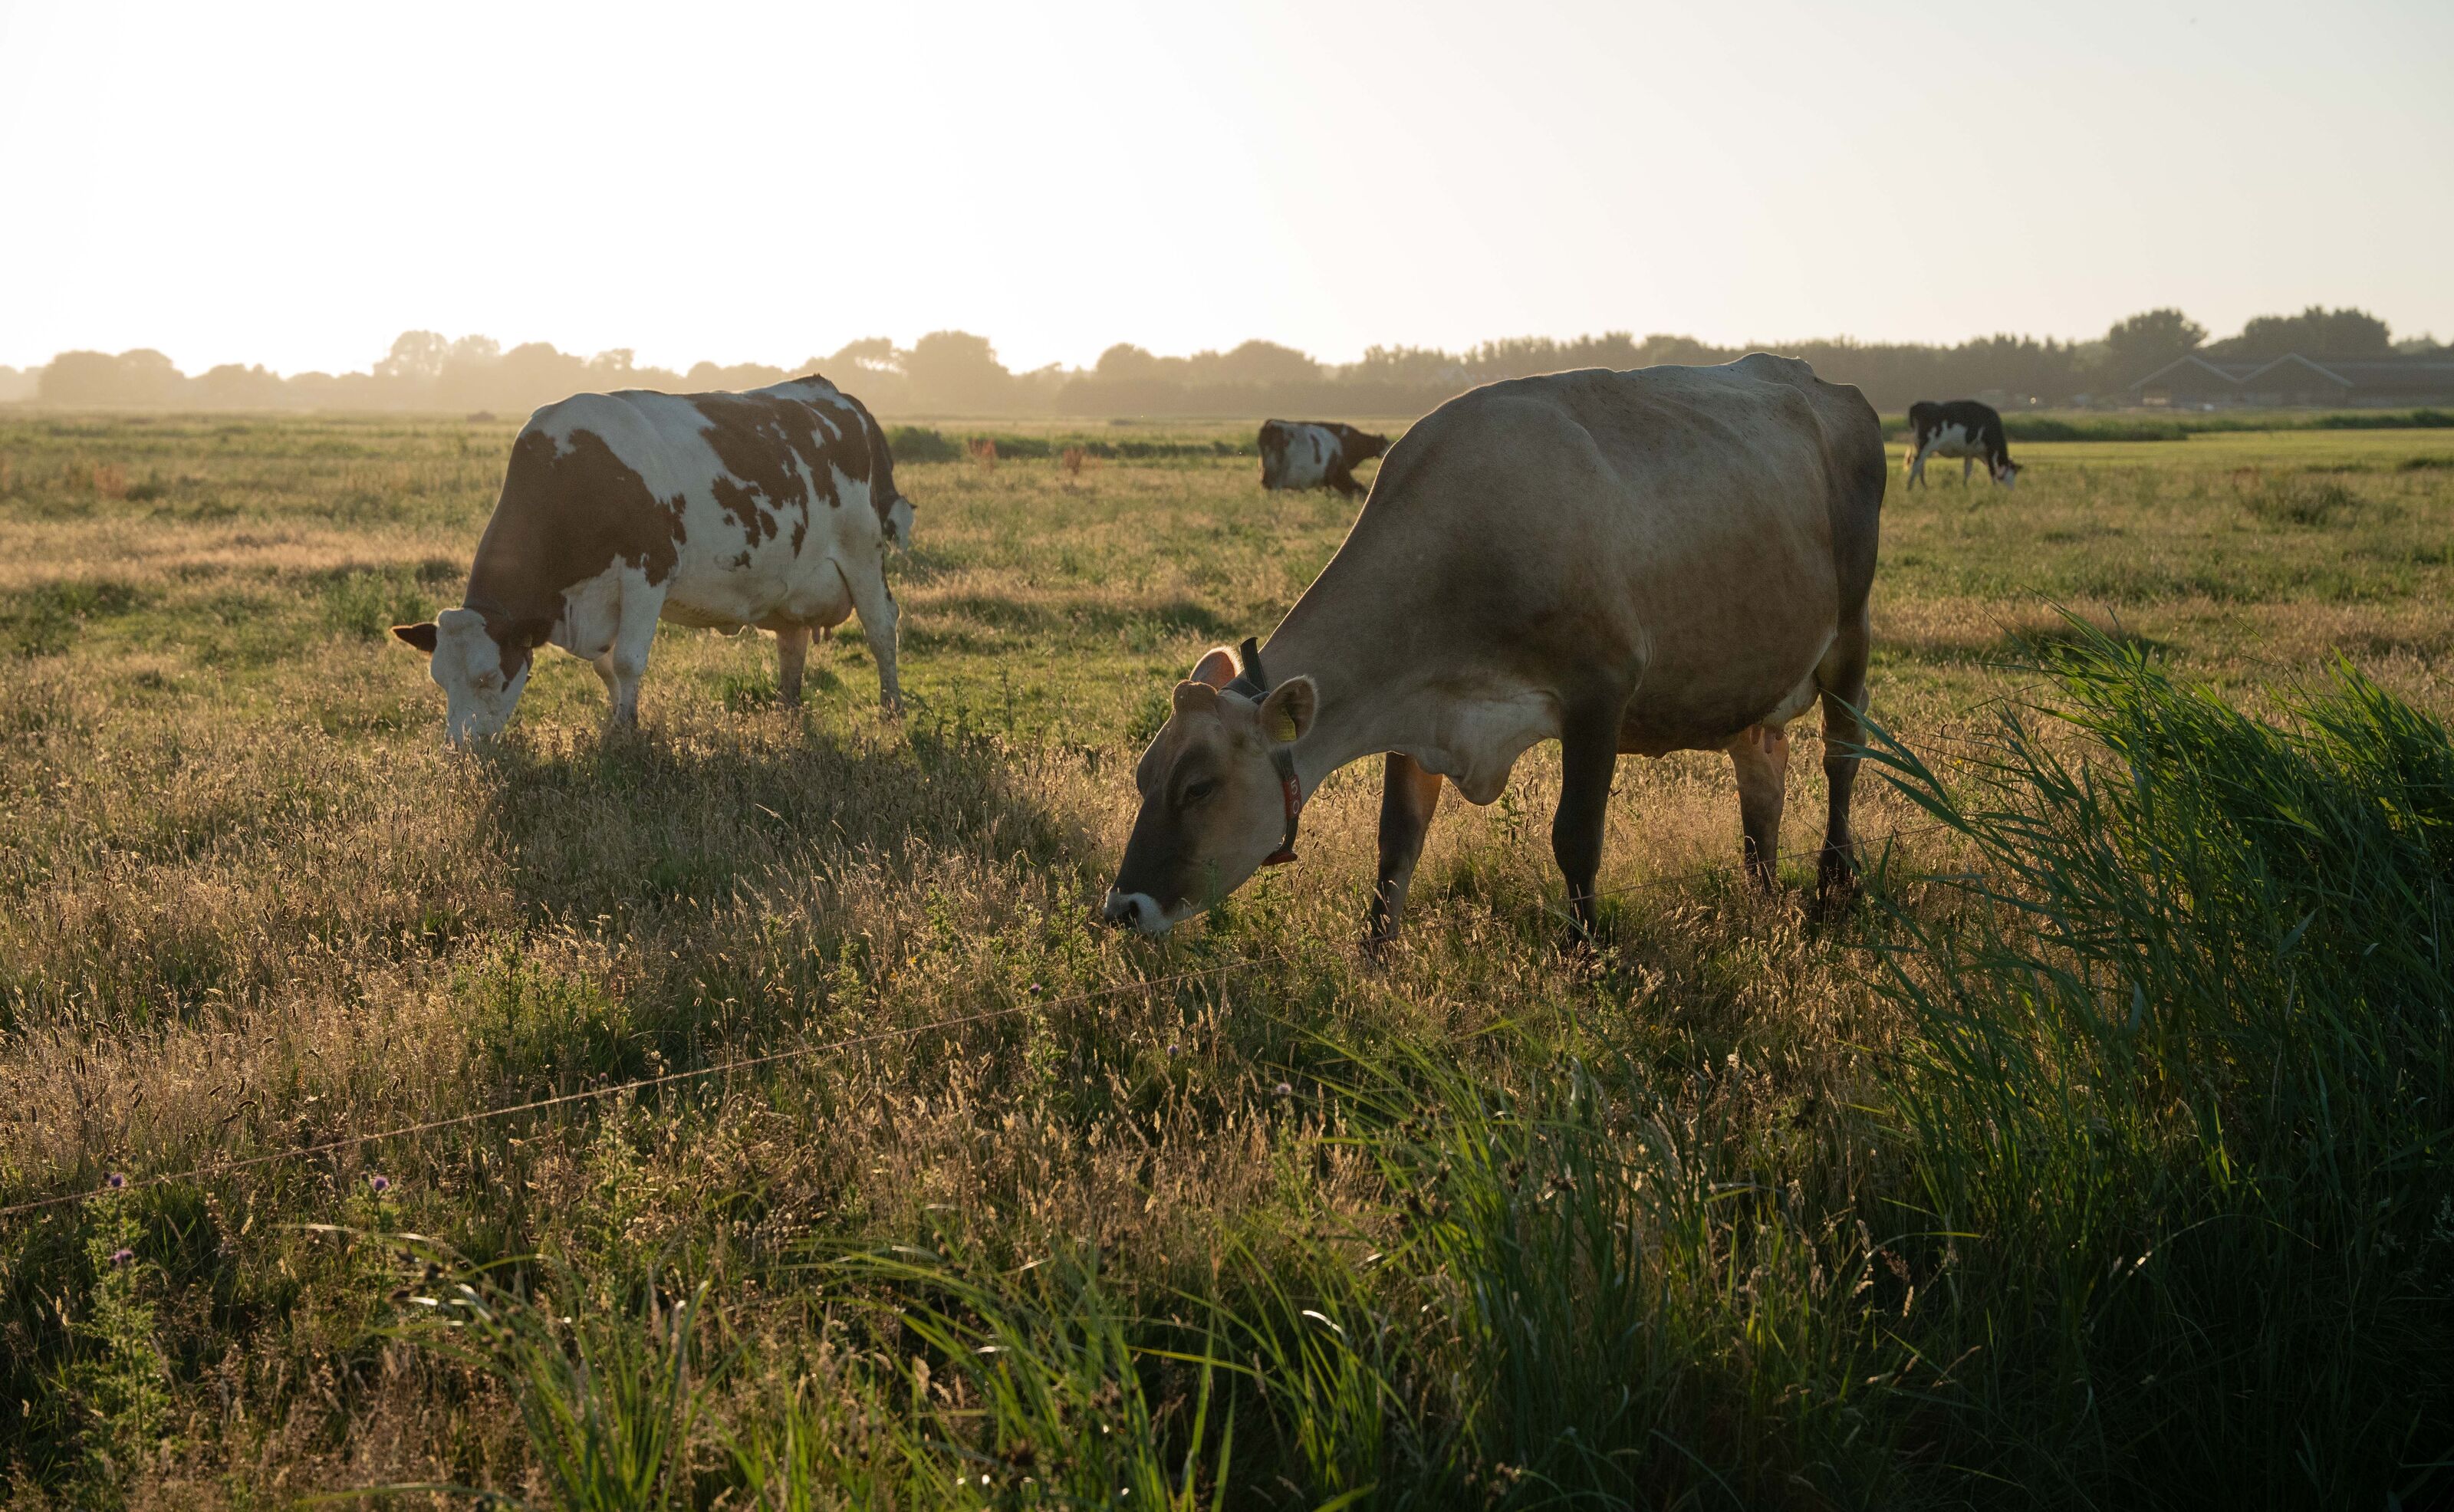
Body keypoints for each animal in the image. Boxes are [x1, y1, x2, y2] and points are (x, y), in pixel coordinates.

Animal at [391, 375, 913, 747]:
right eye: (440, 681)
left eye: (489, 678)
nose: (460, 749)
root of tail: (834, 394)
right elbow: (606, 670)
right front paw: (616, 724)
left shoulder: (648, 574)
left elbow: (627, 661)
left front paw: (628, 734)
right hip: (791, 579)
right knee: (792, 642)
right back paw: (787, 714)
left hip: (862, 550)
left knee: (881, 627)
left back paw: (892, 711)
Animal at [1904, 399, 2019, 488]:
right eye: (2014, 472)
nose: (2012, 490)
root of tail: (1917, 405)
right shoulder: (1990, 450)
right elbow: (1992, 471)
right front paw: (1995, 489)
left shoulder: (1970, 453)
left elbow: (1967, 470)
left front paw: (1965, 487)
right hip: (1926, 444)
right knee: (1917, 463)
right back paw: (1910, 488)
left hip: (1920, 446)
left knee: (1920, 465)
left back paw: (1924, 487)